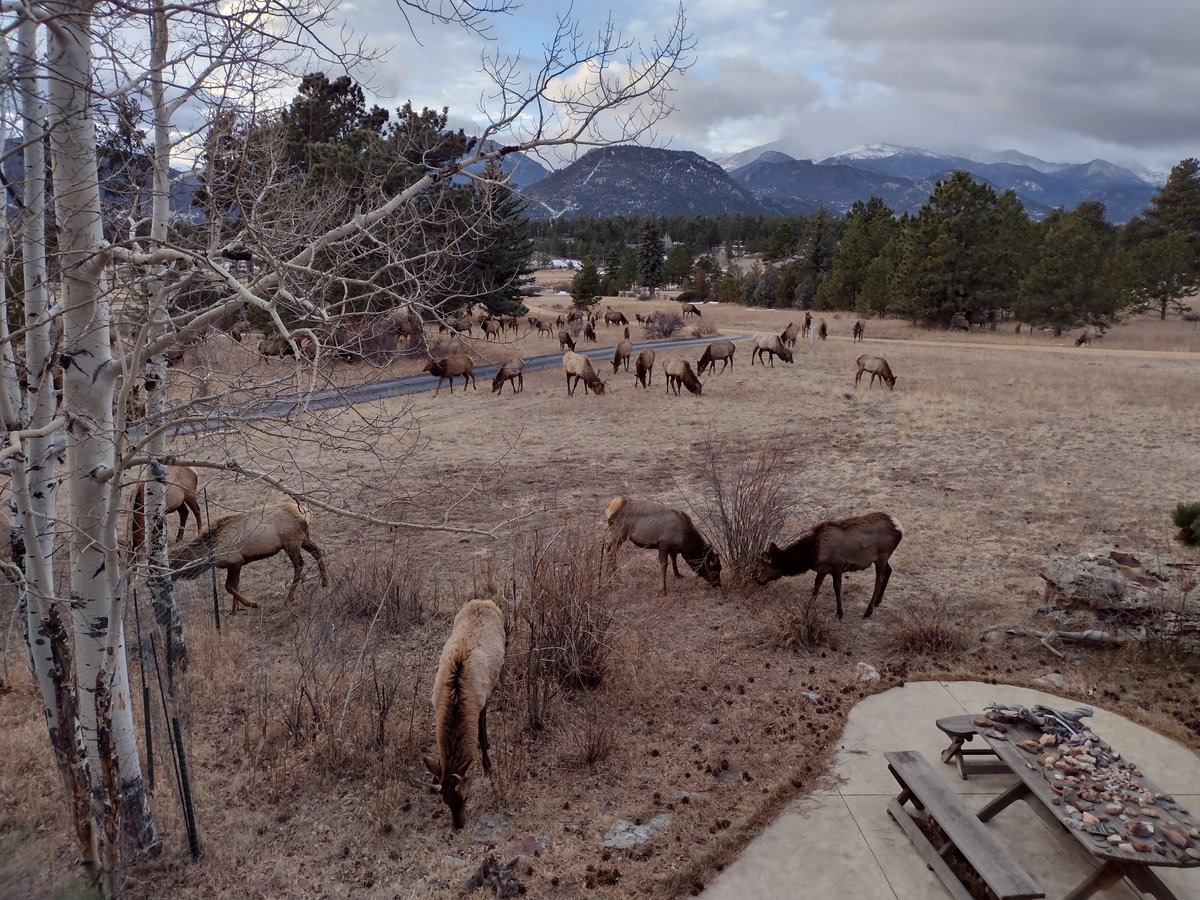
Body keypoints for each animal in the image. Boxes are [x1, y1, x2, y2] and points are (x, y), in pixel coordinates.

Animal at [170, 500, 329, 615]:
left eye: (171, 564)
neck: (210, 553)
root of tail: (306, 513)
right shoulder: (238, 564)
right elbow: (236, 585)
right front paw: (234, 610)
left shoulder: (235, 562)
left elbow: (229, 586)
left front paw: (251, 603)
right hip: (304, 538)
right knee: (317, 551)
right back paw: (325, 582)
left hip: (292, 543)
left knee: (299, 565)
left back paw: (289, 598)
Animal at [424, 598, 506, 830]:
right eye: (445, 800)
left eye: (465, 797)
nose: (458, 825)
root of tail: (484, 600)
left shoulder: (482, 702)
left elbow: (481, 734)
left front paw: (488, 766)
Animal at [754, 512, 903, 619]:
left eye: (765, 568)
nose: (758, 580)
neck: (813, 554)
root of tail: (900, 529)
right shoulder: (823, 569)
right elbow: (816, 586)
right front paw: (808, 607)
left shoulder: (837, 565)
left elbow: (837, 588)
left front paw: (840, 613)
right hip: (884, 558)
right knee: (889, 571)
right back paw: (878, 601)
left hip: (881, 556)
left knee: (879, 580)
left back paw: (868, 611)